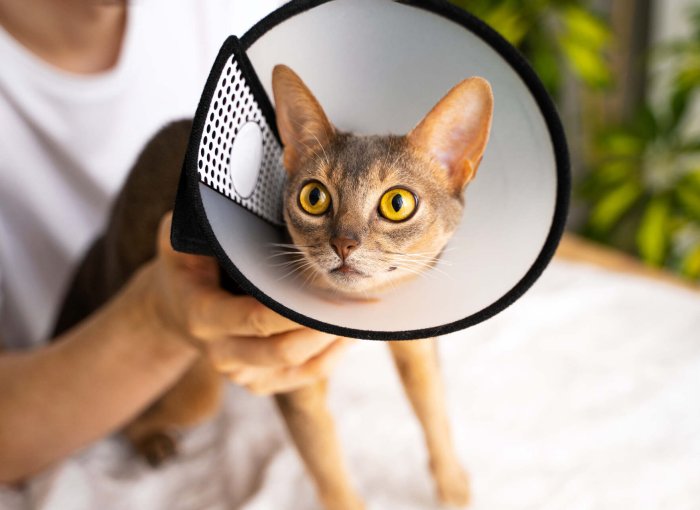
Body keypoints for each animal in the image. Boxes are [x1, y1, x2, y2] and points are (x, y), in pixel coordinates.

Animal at [53, 64, 492, 510]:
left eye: (397, 204)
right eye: (314, 197)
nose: (344, 244)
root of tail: (106, 234)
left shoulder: (417, 344)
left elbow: (434, 408)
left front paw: (453, 487)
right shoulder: (294, 380)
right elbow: (328, 470)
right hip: (199, 386)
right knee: (117, 419)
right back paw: (153, 444)